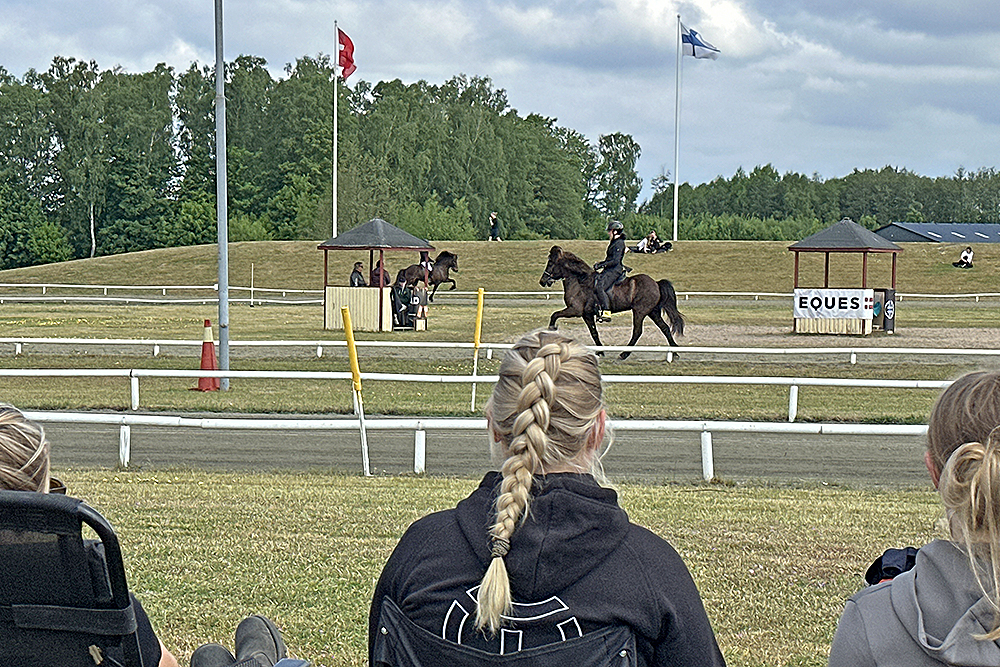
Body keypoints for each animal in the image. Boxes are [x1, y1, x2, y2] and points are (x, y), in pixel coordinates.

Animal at [544, 247, 684, 360]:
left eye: (551, 263)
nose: (543, 281)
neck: (580, 281)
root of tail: (656, 283)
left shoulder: (575, 310)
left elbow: (555, 314)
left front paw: (551, 329)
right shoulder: (586, 314)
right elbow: (594, 332)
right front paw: (600, 352)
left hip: (640, 311)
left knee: (637, 331)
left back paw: (624, 354)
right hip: (653, 312)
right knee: (665, 328)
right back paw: (675, 352)